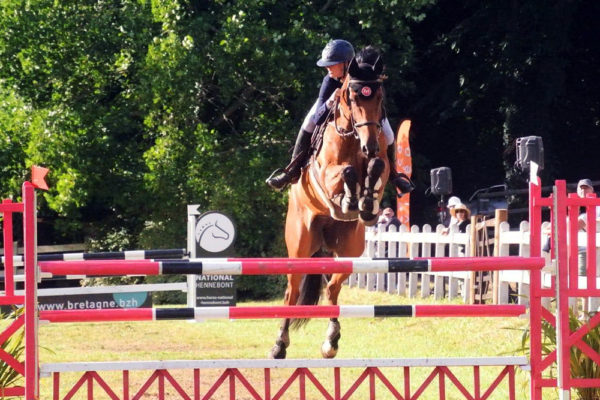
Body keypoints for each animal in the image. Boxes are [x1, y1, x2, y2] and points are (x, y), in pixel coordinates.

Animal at [270, 50, 390, 360]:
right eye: (353, 97)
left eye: (379, 97)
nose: (370, 145)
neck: (353, 139)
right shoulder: (325, 172)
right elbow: (344, 172)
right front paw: (349, 198)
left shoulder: (382, 166)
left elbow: (378, 167)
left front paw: (367, 203)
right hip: (300, 246)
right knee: (291, 293)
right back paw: (279, 345)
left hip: (350, 248)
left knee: (333, 287)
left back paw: (331, 341)